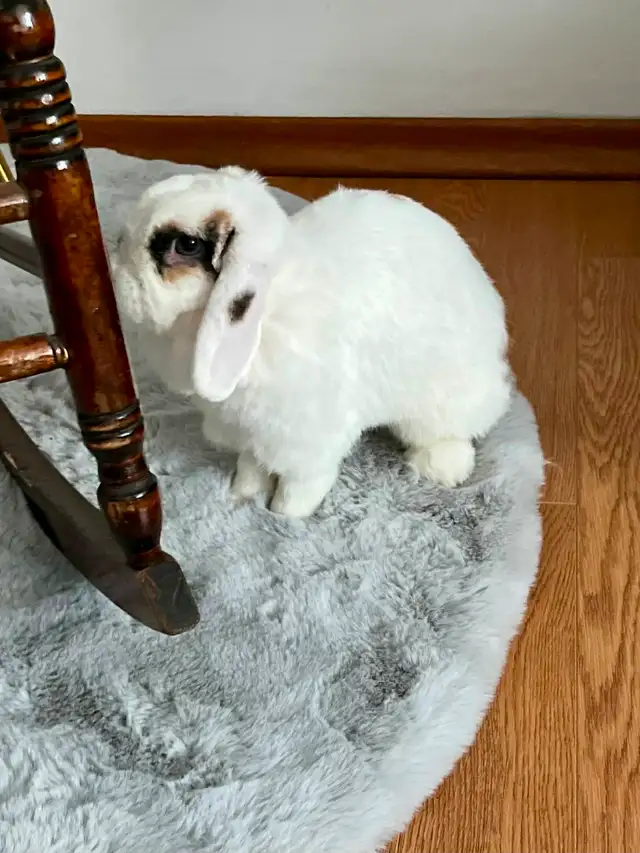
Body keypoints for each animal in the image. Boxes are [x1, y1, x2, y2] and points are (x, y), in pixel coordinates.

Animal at [111, 166, 512, 518]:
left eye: (187, 244)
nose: (115, 254)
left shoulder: (308, 447)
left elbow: (298, 491)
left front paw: (282, 520)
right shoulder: (253, 436)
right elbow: (251, 469)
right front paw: (241, 499)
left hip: (444, 400)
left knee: (457, 430)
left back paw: (440, 468)